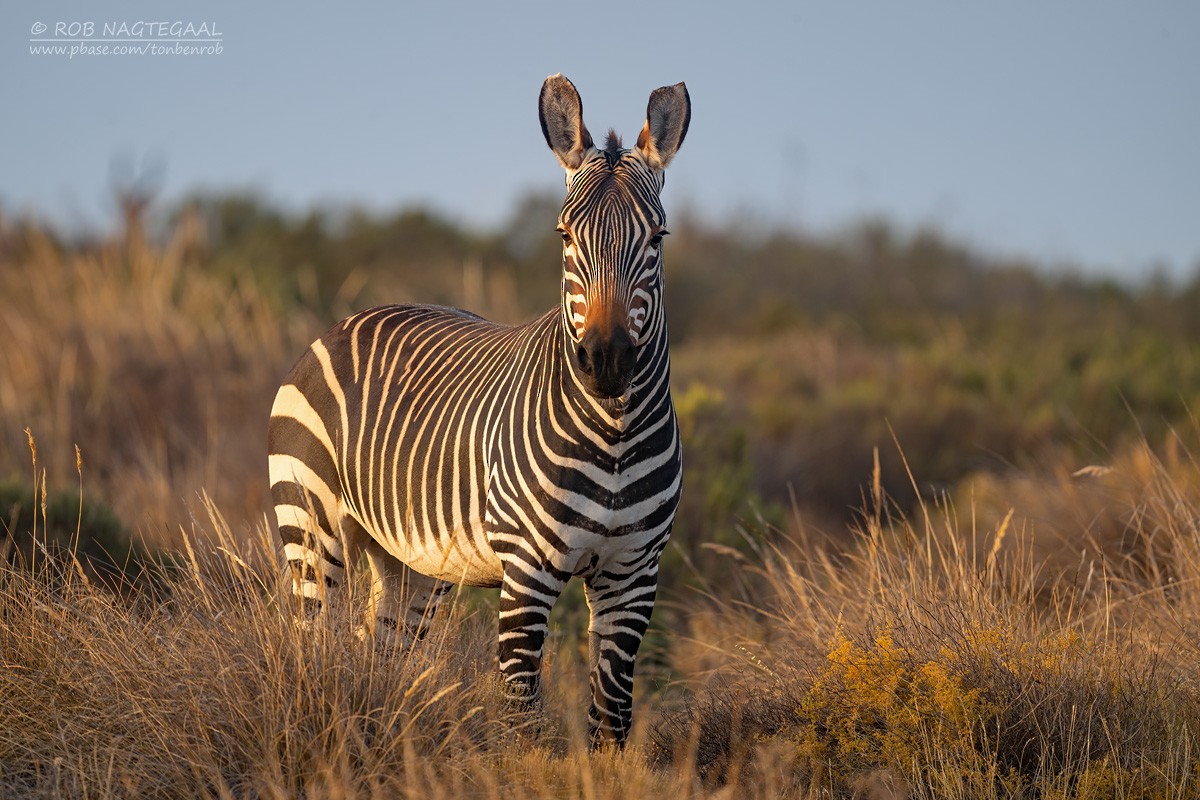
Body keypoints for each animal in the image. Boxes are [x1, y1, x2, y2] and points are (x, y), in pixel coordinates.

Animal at [268, 73, 689, 746]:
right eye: (565, 236)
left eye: (657, 238)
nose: (606, 361)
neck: (615, 436)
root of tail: (349, 319)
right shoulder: (528, 570)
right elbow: (523, 720)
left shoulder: (634, 575)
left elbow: (613, 719)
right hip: (311, 523)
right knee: (315, 644)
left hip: (410, 562)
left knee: (378, 652)